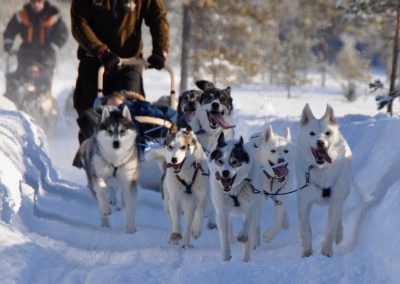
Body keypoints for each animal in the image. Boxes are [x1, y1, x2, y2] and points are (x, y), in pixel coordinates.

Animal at [79, 105, 140, 234]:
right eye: (110, 131)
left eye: (122, 131)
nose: (116, 143)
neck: (115, 159)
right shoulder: (98, 175)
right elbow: (101, 191)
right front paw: (106, 209)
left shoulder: (129, 179)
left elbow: (131, 206)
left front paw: (130, 226)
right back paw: (105, 222)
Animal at [208, 133, 264, 262]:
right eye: (220, 161)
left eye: (234, 162)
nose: (225, 173)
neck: (234, 190)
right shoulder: (222, 211)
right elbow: (224, 236)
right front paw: (226, 257)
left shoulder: (251, 207)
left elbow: (247, 225)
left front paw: (245, 255)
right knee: (230, 226)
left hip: (257, 209)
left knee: (254, 227)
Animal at [296, 104, 352, 258]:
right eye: (312, 133)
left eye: (328, 133)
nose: (320, 142)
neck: (321, 169)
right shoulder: (305, 202)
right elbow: (305, 229)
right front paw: (307, 253)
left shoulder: (335, 200)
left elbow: (330, 229)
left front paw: (326, 253)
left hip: (343, 194)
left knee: (339, 216)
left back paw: (339, 234)